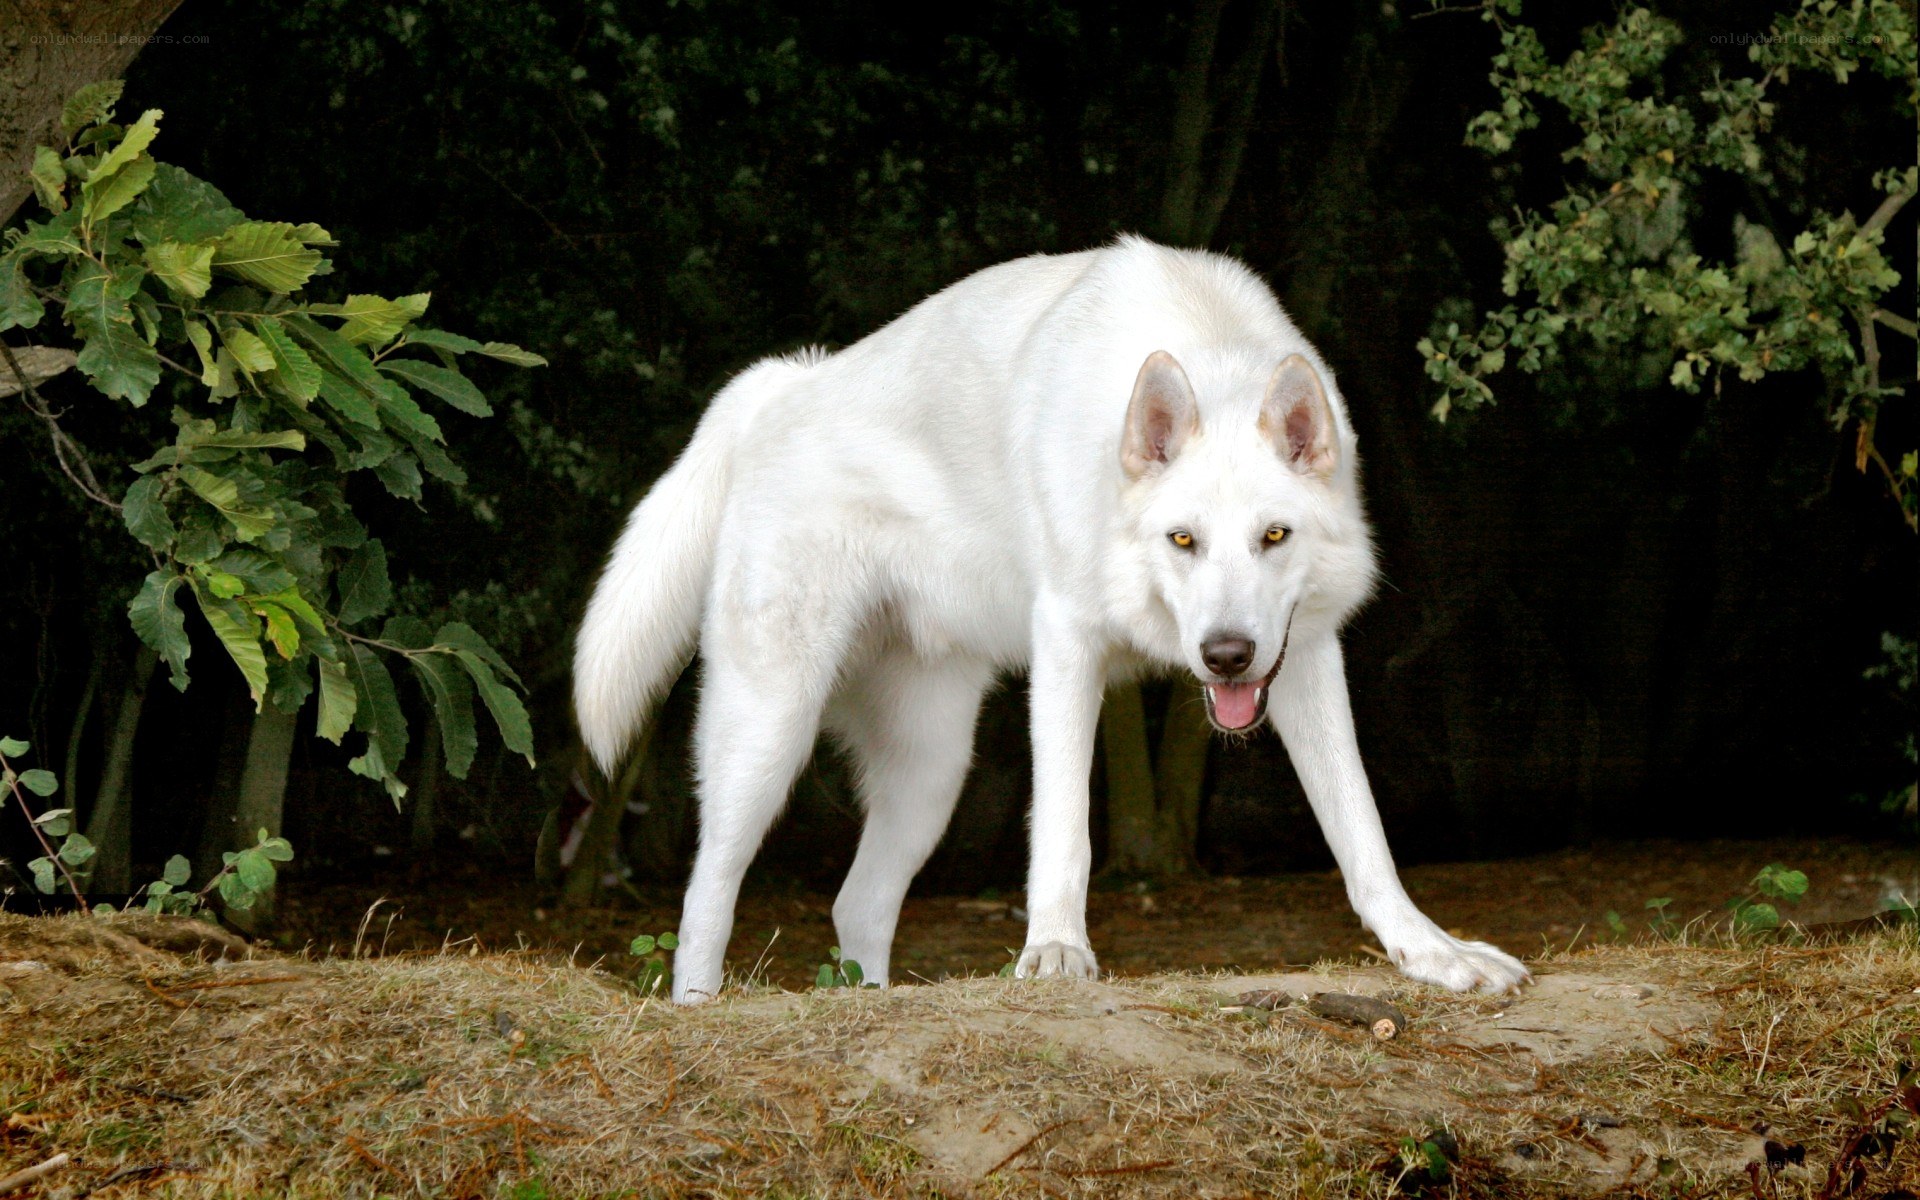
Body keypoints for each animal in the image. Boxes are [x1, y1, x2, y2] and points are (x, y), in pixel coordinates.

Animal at [575, 236, 1531, 1003]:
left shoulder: (1304, 658)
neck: (1203, 345)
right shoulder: (1068, 645)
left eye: (1273, 536)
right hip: (768, 739)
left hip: (931, 774)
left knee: (857, 905)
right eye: (1183, 539)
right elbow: (1065, 831)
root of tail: (781, 385)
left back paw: (870, 1002)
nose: (1225, 655)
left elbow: (1363, 833)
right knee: (705, 895)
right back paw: (699, 1007)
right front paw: (1057, 955)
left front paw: (1432, 953)